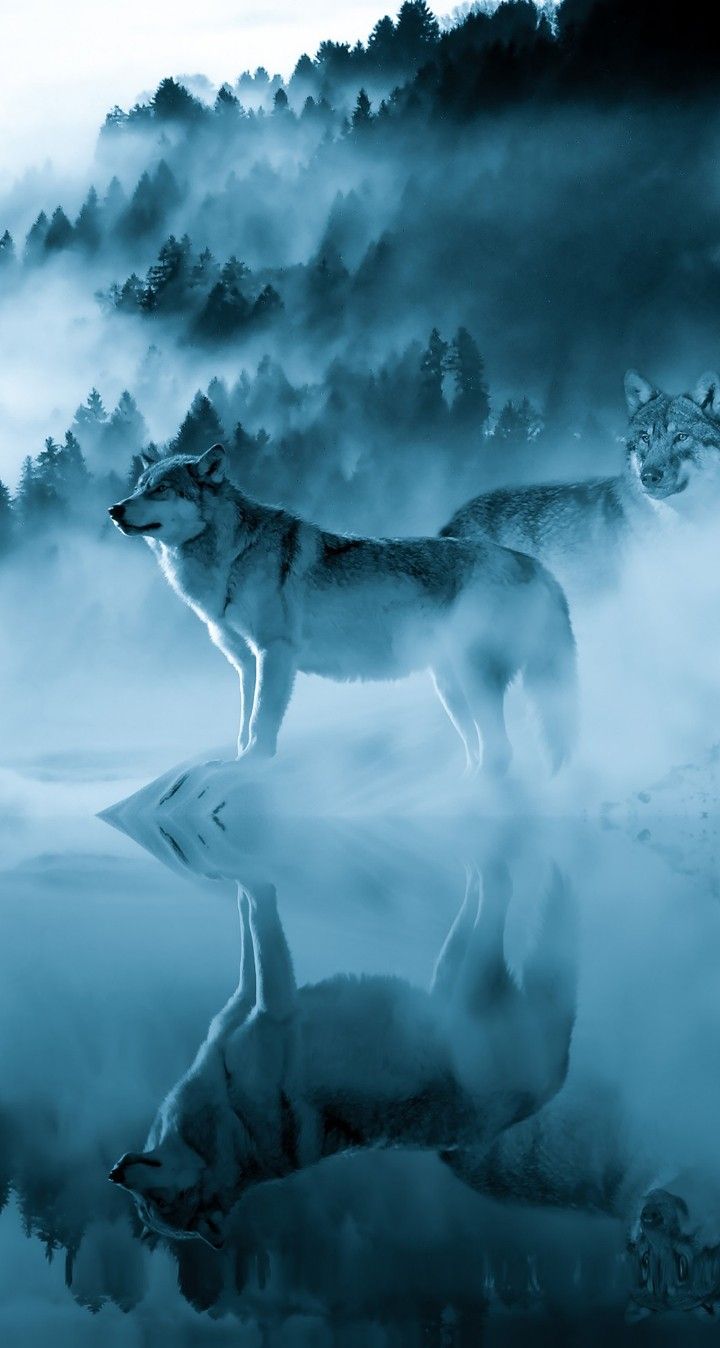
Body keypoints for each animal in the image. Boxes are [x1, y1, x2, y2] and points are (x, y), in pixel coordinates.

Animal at [108, 443, 577, 774]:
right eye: (138, 486)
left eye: (161, 489)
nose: (114, 509)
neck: (230, 557)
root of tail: (536, 566)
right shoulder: (246, 663)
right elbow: (242, 725)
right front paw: (234, 762)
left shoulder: (275, 653)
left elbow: (260, 723)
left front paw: (251, 766)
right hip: (450, 687)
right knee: (483, 751)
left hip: (472, 679)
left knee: (501, 752)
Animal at [109, 864, 576, 1249]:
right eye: (153, 1204)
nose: (114, 1172)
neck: (233, 1118)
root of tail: (551, 1082)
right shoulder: (273, 1007)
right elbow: (261, 924)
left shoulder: (255, 1003)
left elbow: (250, 931)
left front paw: (236, 879)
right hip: (459, 991)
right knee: (500, 896)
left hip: (452, 982)